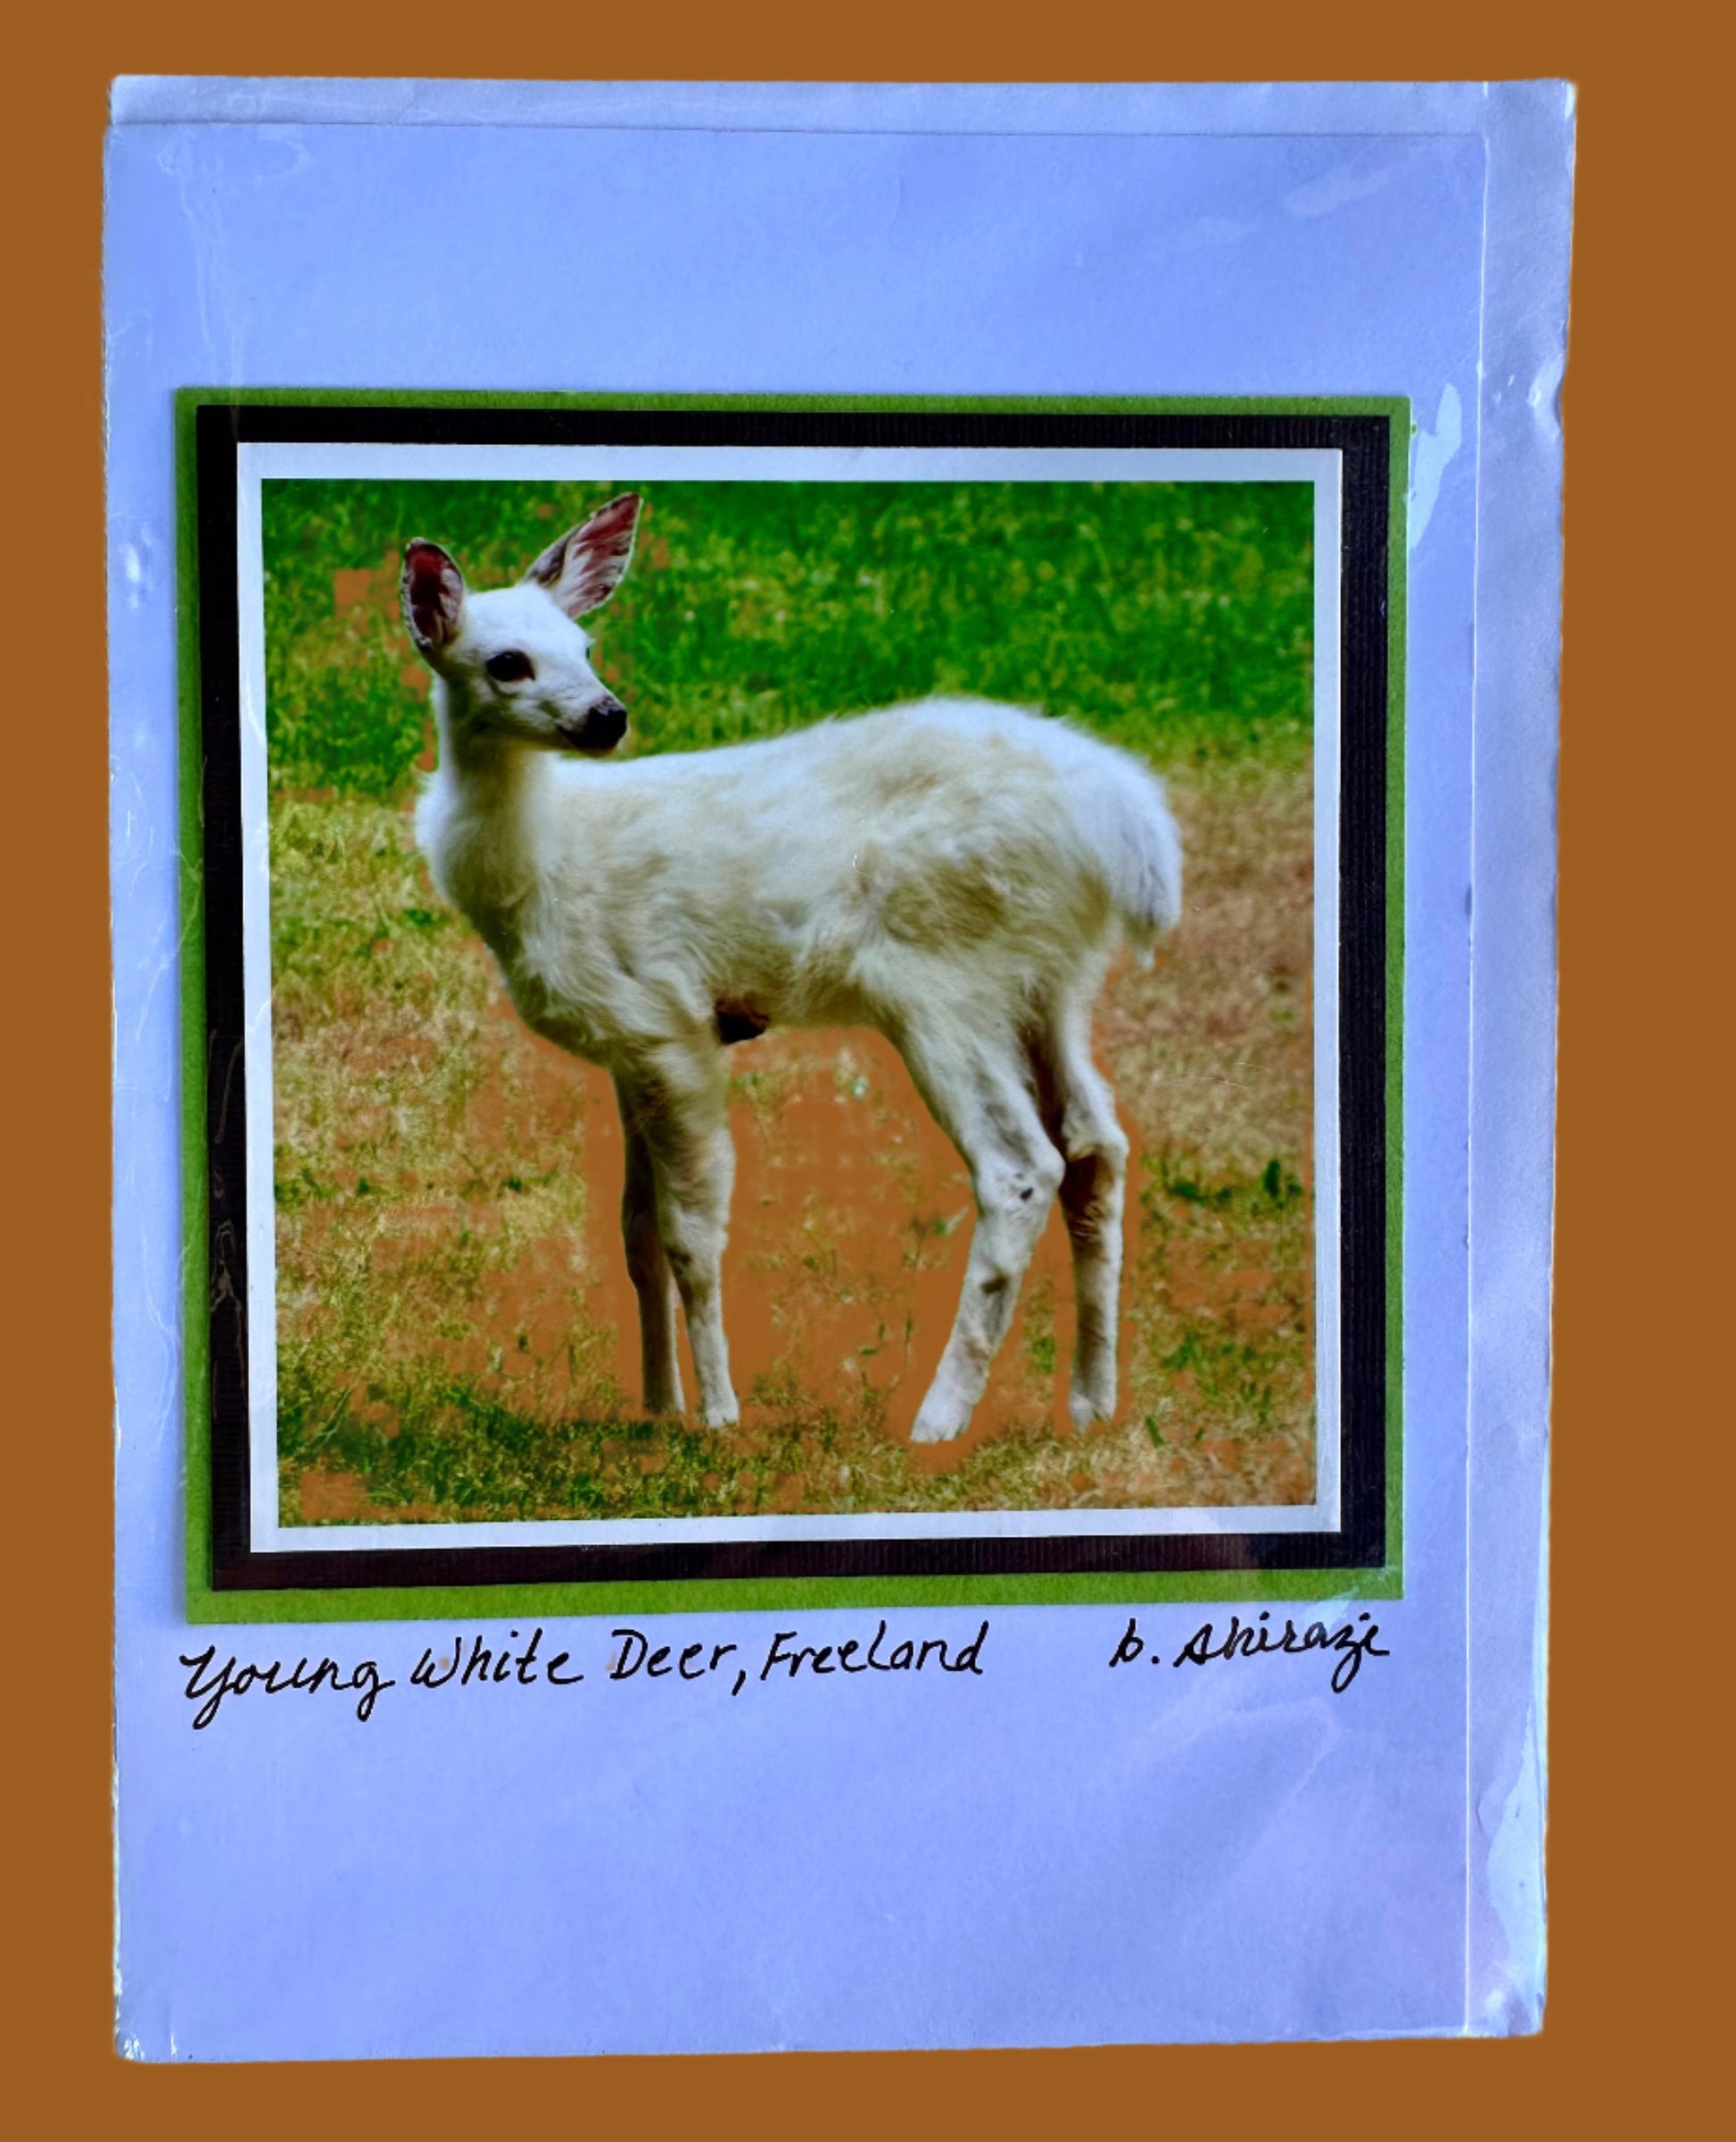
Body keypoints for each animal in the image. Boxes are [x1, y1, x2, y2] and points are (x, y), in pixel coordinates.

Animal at [402, 492, 1174, 1448]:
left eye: (585, 646)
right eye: (507, 662)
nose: (608, 715)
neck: (544, 862)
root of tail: (1133, 829)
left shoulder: (671, 1023)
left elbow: (691, 1236)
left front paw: (719, 1415)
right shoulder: (627, 1047)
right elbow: (634, 1232)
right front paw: (655, 1404)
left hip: (939, 973)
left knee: (1022, 1167)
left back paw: (936, 1419)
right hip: (1052, 978)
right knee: (1097, 1144)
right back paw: (1091, 1403)